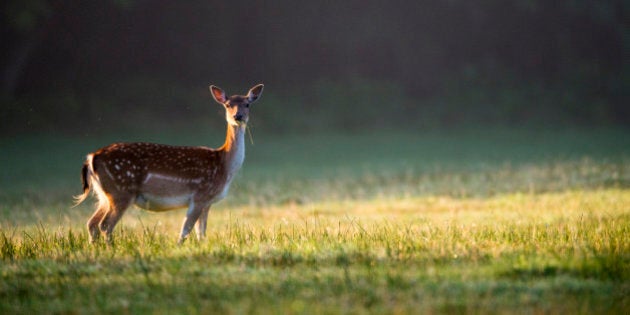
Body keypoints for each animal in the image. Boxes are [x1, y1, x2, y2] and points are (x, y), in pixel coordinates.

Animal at [74, 83, 264, 244]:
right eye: (227, 104)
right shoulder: (200, 195)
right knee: (105, 225)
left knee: (91, 223)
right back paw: (110, 248)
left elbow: (201, 233)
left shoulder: (208, 201)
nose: (238, 116)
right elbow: (185, 231)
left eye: (247, 104)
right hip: (121, 190)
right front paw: (180, 247)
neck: (224, 165)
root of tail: (91, 157)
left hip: (104, 194)